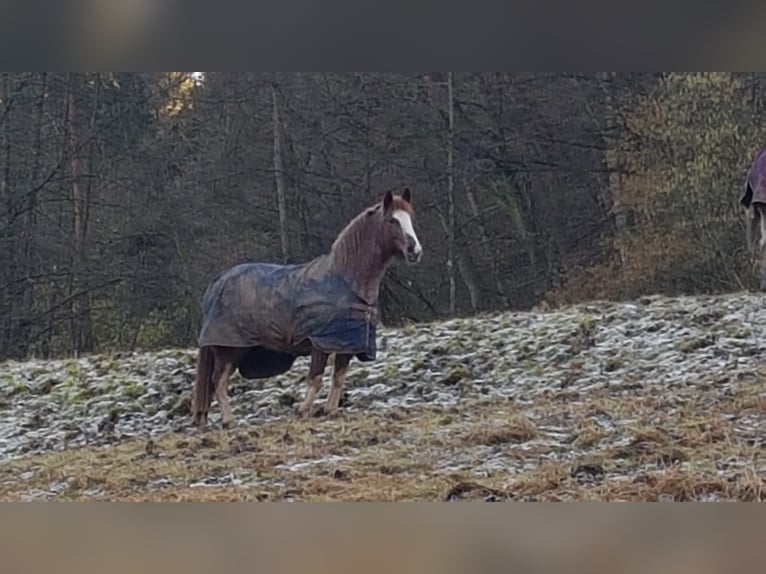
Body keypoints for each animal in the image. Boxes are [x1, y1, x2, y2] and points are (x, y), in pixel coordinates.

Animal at [190, 189, 424, 428]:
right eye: (392, 220)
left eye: (410, 218)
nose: (415, 250)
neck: (346, 280)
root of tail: (217, 282)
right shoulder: (320, 342)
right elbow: (316, 378)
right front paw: (304, 411)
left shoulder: (346, 344)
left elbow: (339, 377)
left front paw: (331, 411)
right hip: (229, 348)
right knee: (218, 380)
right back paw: (229, 420)